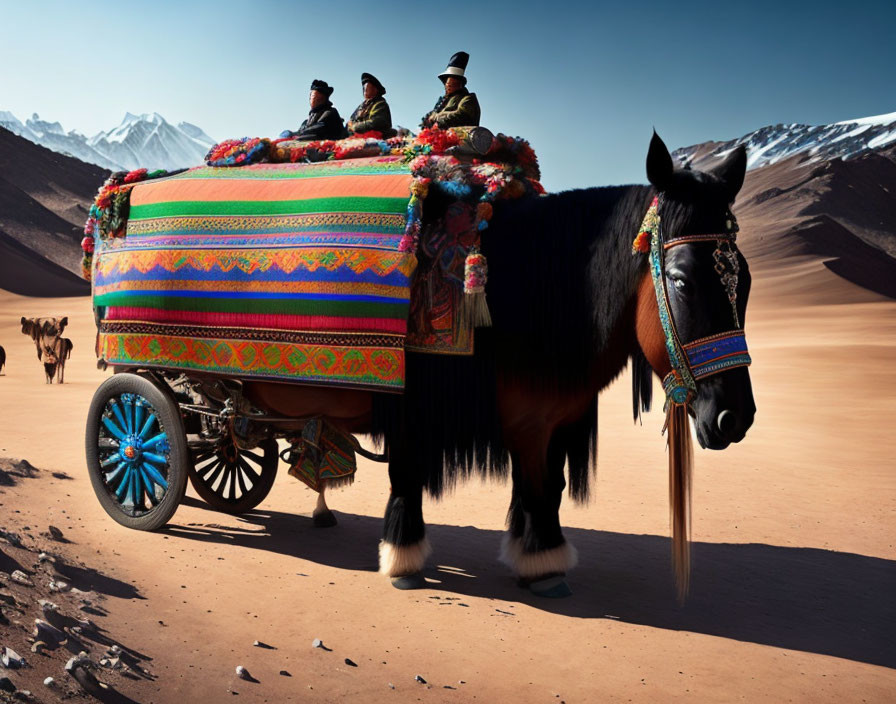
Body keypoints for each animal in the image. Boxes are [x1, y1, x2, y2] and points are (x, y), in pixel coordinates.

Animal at [344, 133, 756, 600]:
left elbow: (545, 488)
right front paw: (405, 558)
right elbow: (412, 475)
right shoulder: (420, 411)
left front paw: (538, 558)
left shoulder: (551, 419)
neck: (523, 291)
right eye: (681, 279)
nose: (734, 417)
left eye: (745, 280)